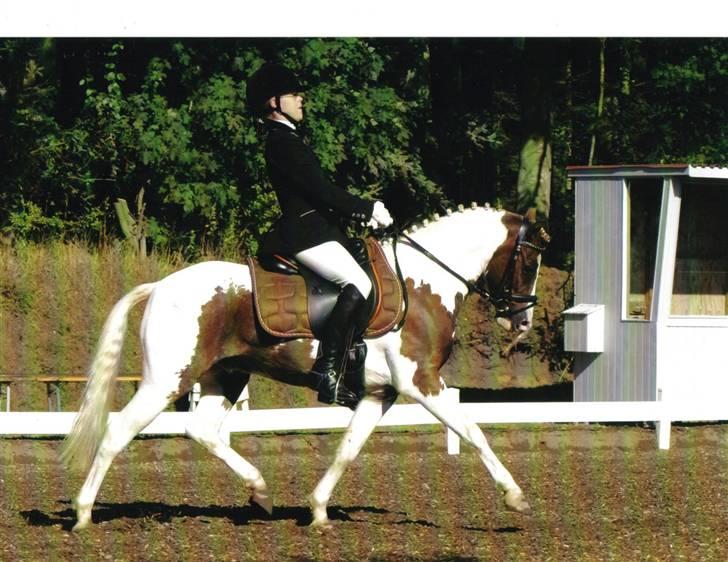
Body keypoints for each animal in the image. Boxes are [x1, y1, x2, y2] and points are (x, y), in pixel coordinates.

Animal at [61, 203, 550, 531]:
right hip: (168, 380)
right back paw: (83, 515)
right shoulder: (421, 382)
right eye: (529, 259)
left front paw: (317, 511)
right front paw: (515, 496)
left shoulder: (381, 393)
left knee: (200, 430)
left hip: (226, 376)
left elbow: (348, 448)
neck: (422, 285)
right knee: (118, 431)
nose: (521, 321)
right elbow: (472, 431)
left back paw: (260, 493)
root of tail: (160, 285)